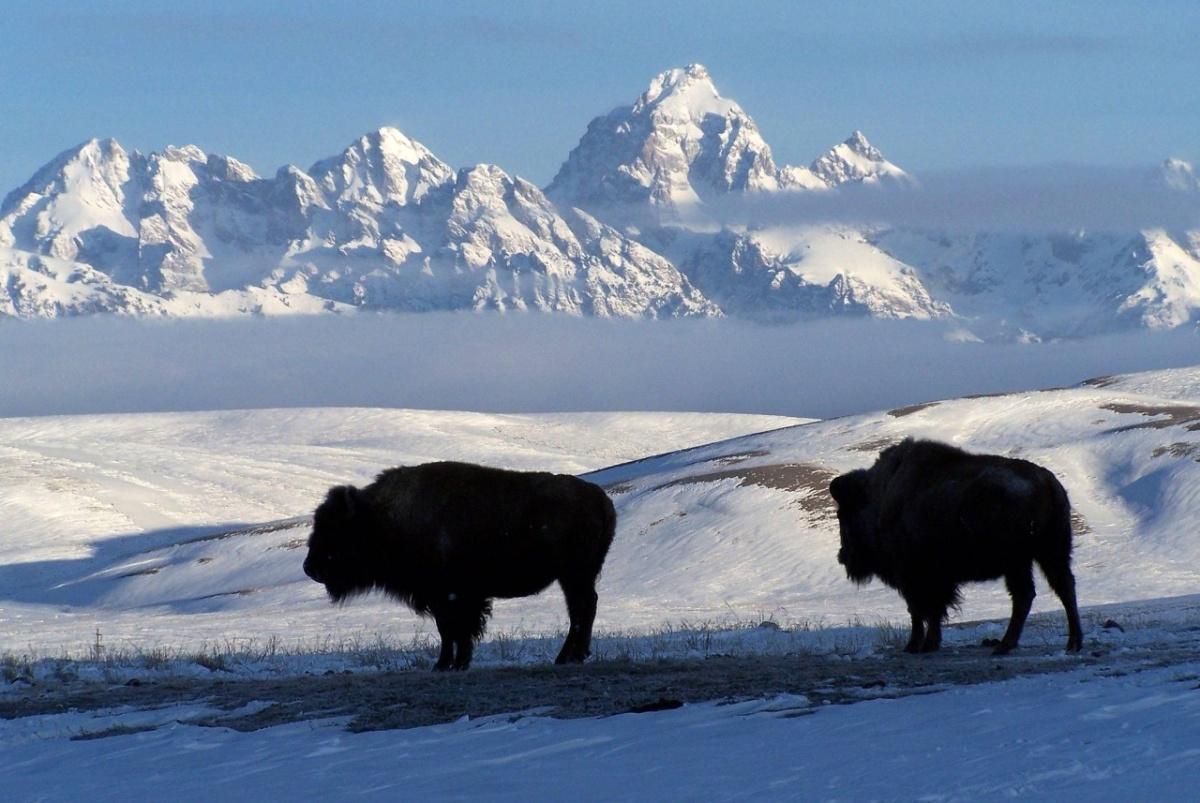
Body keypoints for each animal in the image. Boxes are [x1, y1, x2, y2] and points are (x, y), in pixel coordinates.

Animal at [300, 460, 619, 667]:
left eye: (337, 529)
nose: (309, 567)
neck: (383, 518)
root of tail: (600, 498)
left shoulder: (450, 595)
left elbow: (454, 629)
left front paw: (450, 664)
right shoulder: (447, 597)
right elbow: (451, 630)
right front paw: (450, 664)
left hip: (574, 574)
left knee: (582, 608)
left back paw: (568, 658)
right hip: (574, 576)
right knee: (581, 608)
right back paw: (570, 657)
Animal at [830, 434, 1084, 652]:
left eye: (842, 515)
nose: (842, 556)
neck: (878, 498)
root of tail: (1046, 480)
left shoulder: (913, 576)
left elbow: (919, 610)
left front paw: (916, 646)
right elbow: (931, 611)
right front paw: (929, 644)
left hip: (1018, 560)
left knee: (1024, 594)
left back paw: (1004, 646)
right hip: (1051, 552)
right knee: (1063, 586)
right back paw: (1072, 642)